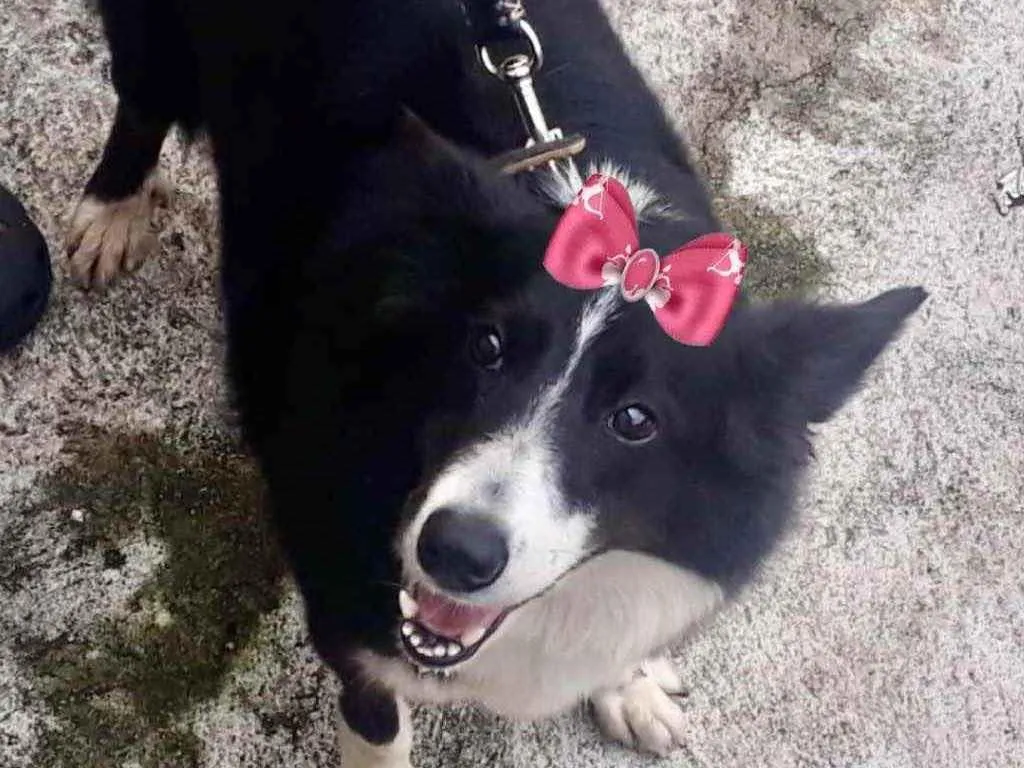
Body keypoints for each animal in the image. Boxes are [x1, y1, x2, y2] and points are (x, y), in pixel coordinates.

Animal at [69, 0, 925, 764]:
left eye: (636, 419)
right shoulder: (349, 610)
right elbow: (379, 728)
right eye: (486, 348)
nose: (455, 553)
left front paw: (630, 685)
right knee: (141, 95)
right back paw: (112, 208)